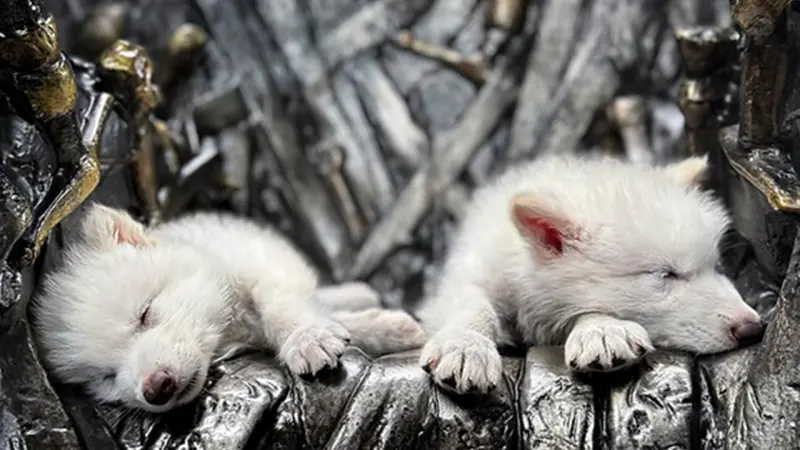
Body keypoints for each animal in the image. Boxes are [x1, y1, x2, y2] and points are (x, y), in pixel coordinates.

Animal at [31, 204, 425, 413]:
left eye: (145, 314)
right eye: (106, 377)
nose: (155, 388)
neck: (227, 328)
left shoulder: (261, 264)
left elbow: (282, 306)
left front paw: (307, 338)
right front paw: (382, 328)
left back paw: (357, 293)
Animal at [417, 154, 764, 394]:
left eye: (715, 267)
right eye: (666, 274)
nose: (753, 329)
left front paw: (603, 330)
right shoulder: (471, 273)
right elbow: (472, 304)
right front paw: (464, 346)